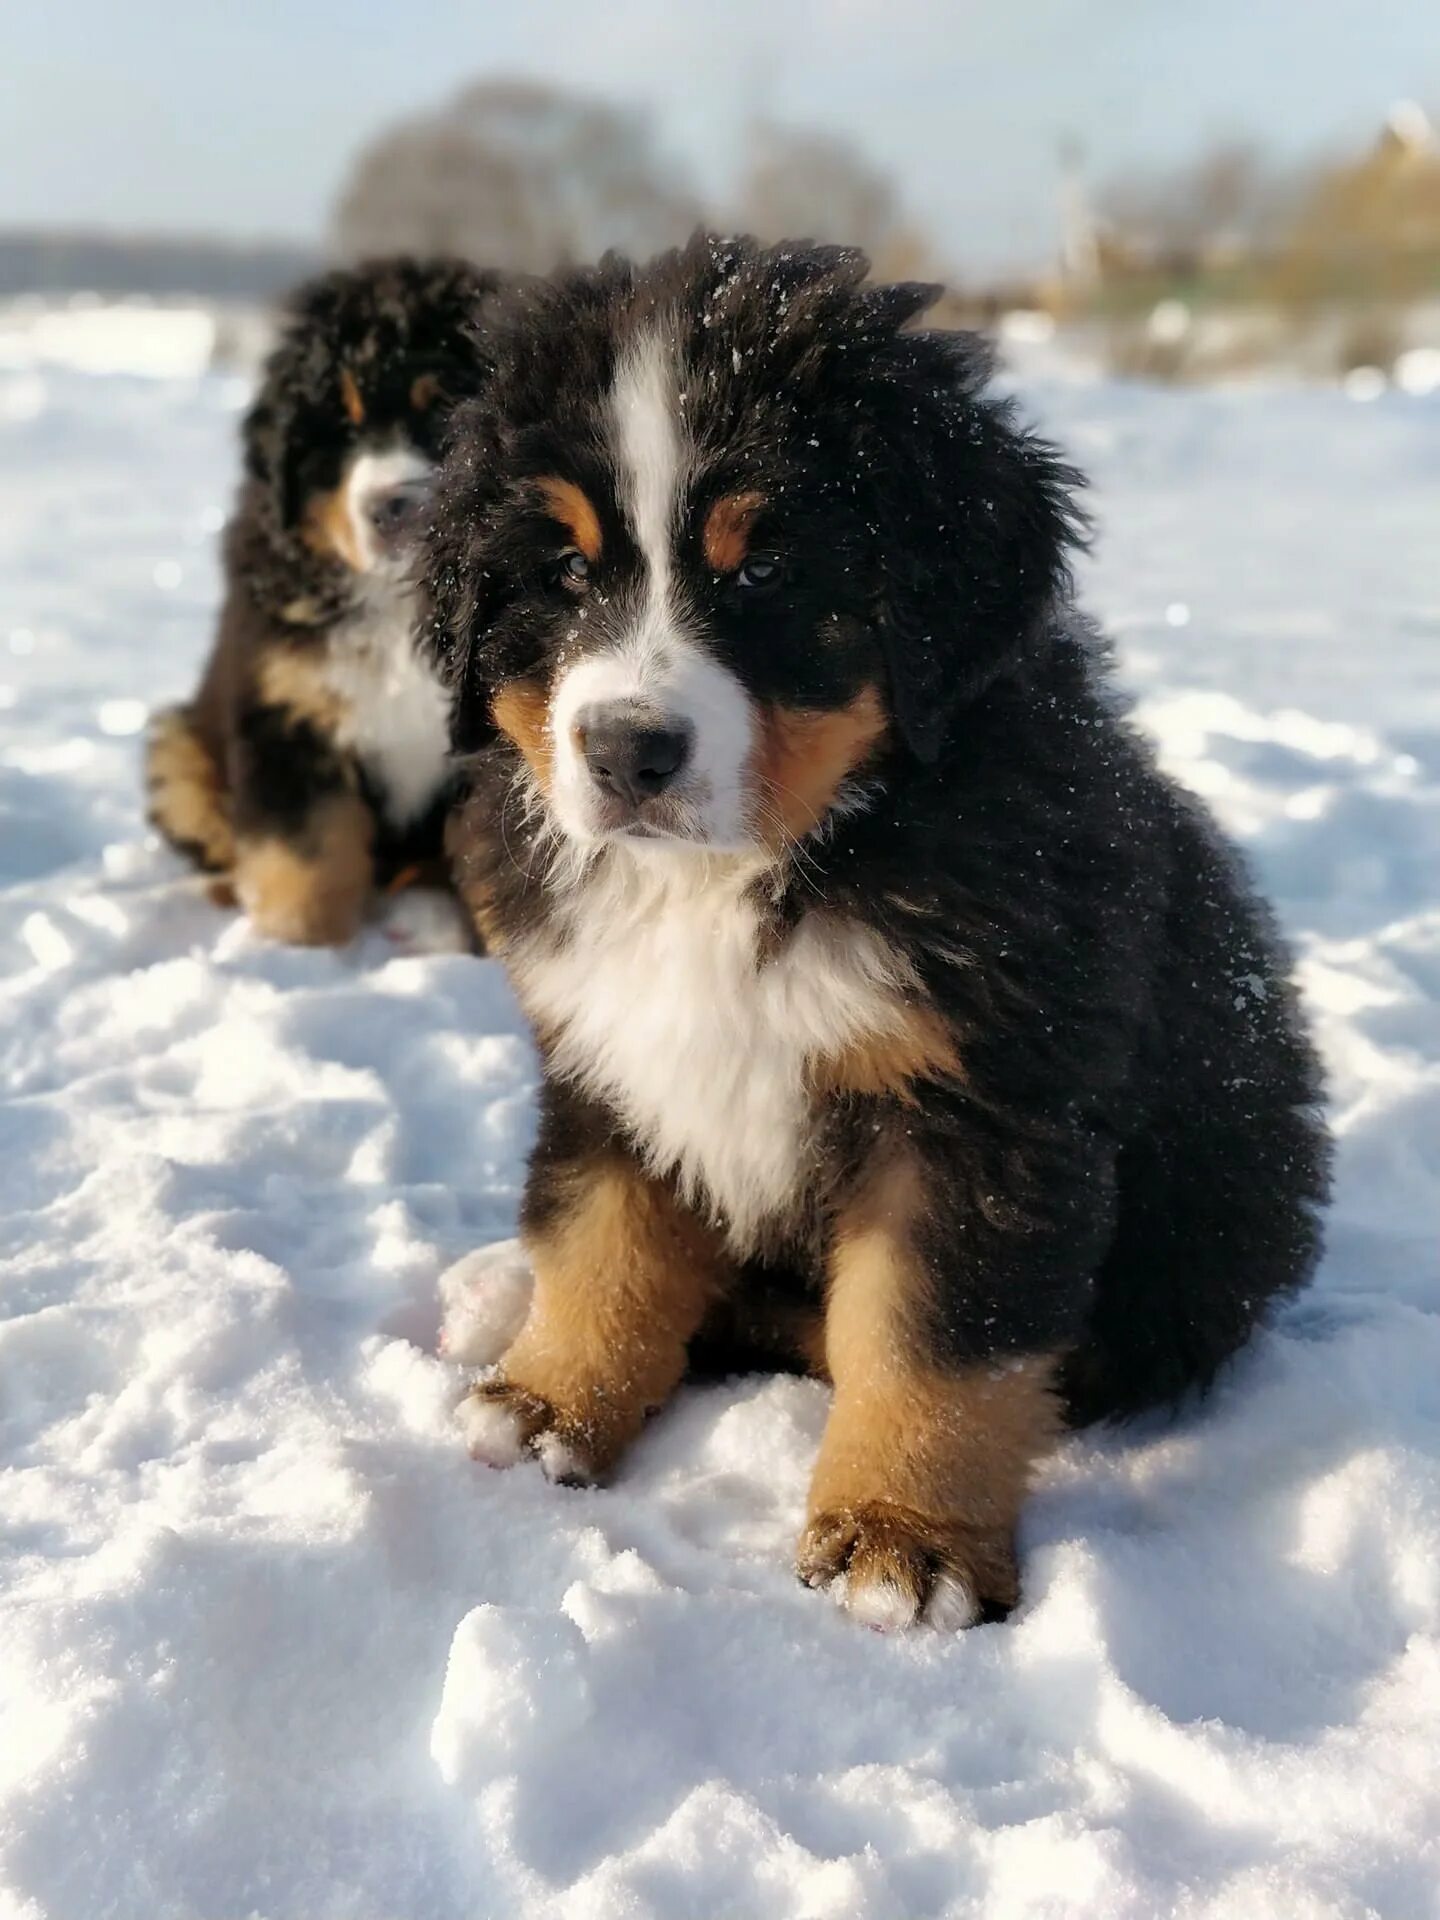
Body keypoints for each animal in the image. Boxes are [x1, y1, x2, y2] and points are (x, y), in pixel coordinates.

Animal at [144, 255, 499, 944]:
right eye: (342, 430)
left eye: (445, 408)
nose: (390, 507)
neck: (402, 606)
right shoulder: (290, 717)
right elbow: (306, 852)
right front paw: (299, 947)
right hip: (180, 748)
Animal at [426, 232, 1328, 1628]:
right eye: (566, 571)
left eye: (765, 572)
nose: (628, 751)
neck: (758, 871)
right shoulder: (611, 1060)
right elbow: (600, 1239)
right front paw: (547, 1403)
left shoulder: (976, 1111)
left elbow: (928, 1339)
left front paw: (903, 1541)